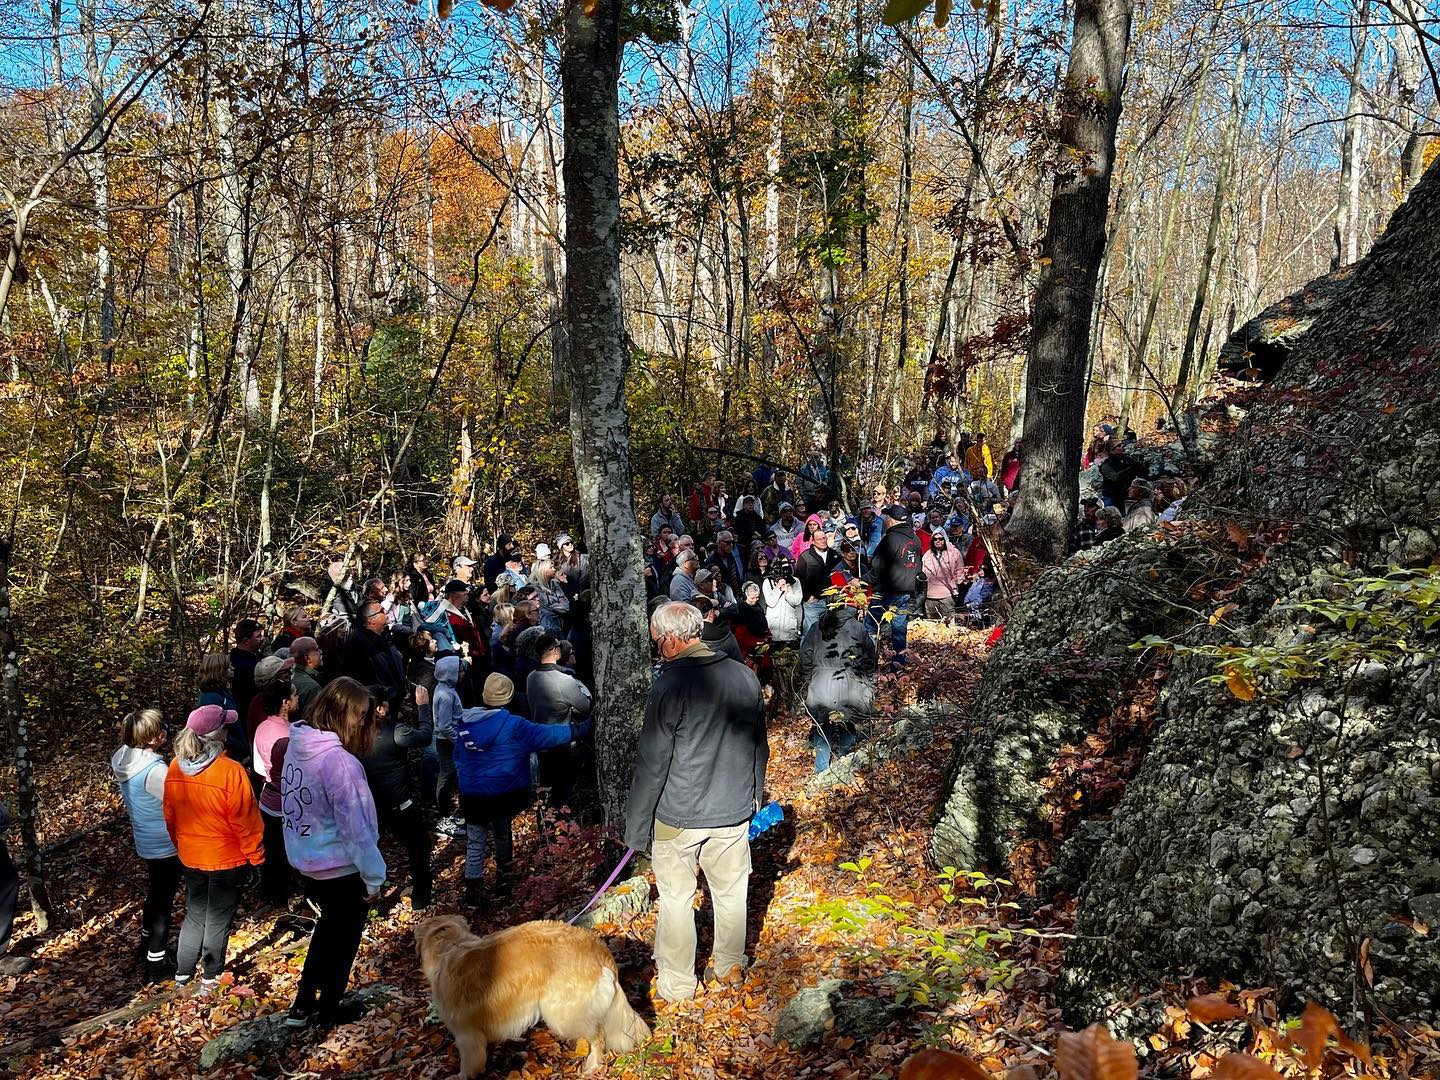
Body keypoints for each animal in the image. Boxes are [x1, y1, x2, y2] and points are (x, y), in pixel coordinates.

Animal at [411, 915, 648, 1077]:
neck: (449, 947)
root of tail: (597, 947)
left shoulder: (467, 1035)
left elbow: (469, 1064)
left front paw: (460, 1076)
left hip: (561, 1012)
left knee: (598, 1035)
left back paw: (592, 1064)